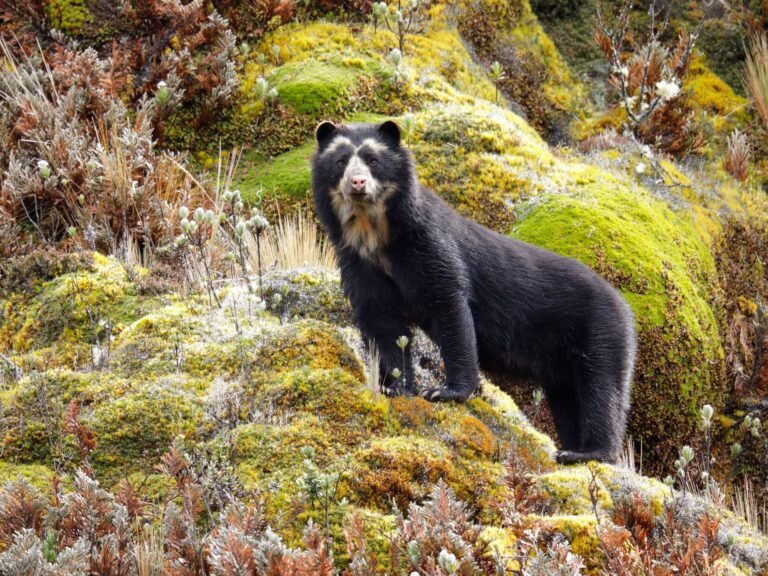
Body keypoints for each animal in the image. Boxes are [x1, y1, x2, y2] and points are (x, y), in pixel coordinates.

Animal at [308, 120, 640, 464]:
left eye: (373, 159)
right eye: (341, 161)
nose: (357, 182)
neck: (374, 232)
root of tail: (625, 306)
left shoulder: (428, 245)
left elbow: (449, 307)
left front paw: (444, 391)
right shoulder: (358, 262)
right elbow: (381, 321)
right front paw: (395, 388)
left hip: (600, 334)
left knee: (601, 389)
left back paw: (587, 453)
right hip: (563, 362)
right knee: (569, 400)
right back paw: (571, 447)